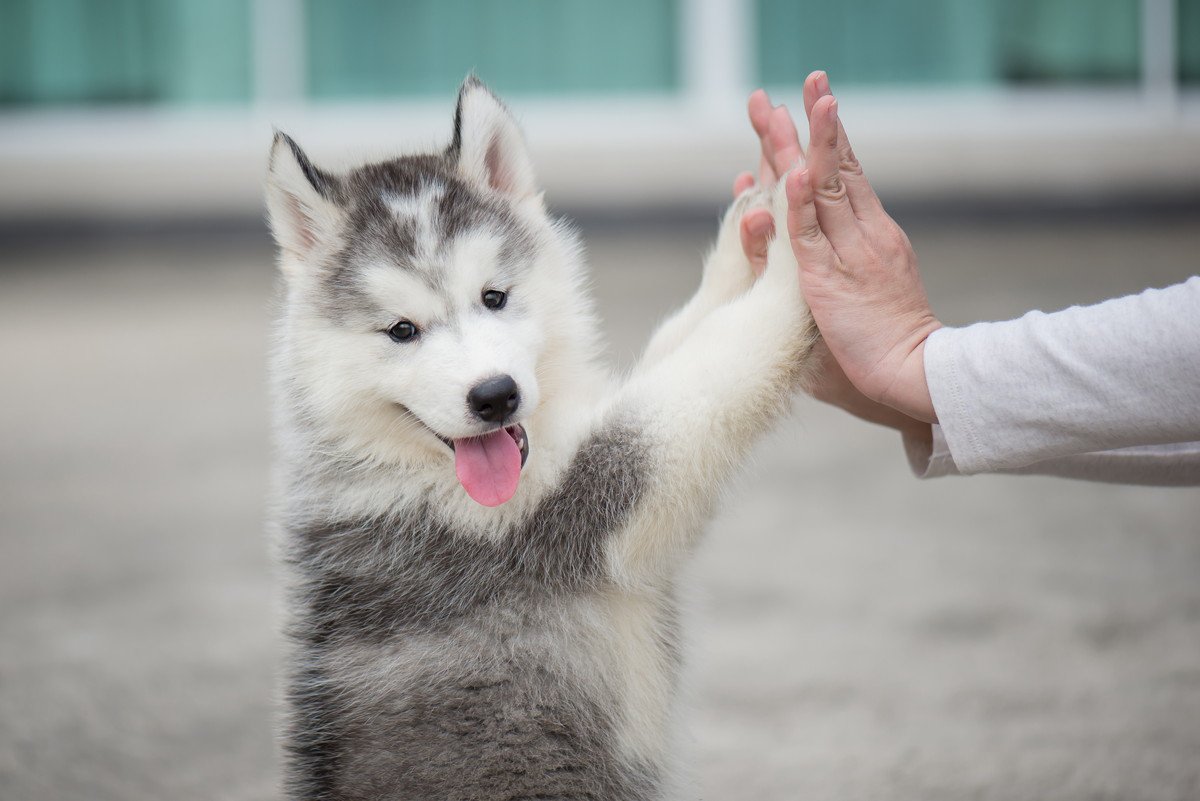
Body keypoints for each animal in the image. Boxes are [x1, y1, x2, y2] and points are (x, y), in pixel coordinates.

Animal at [267, 76, 820, 801]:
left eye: (495, 297)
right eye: (402, 330)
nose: (494, 395)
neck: (406, 466)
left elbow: (684, 338)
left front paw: (747, 236)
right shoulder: (583, 502)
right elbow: (710, 367)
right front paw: (798, 245)